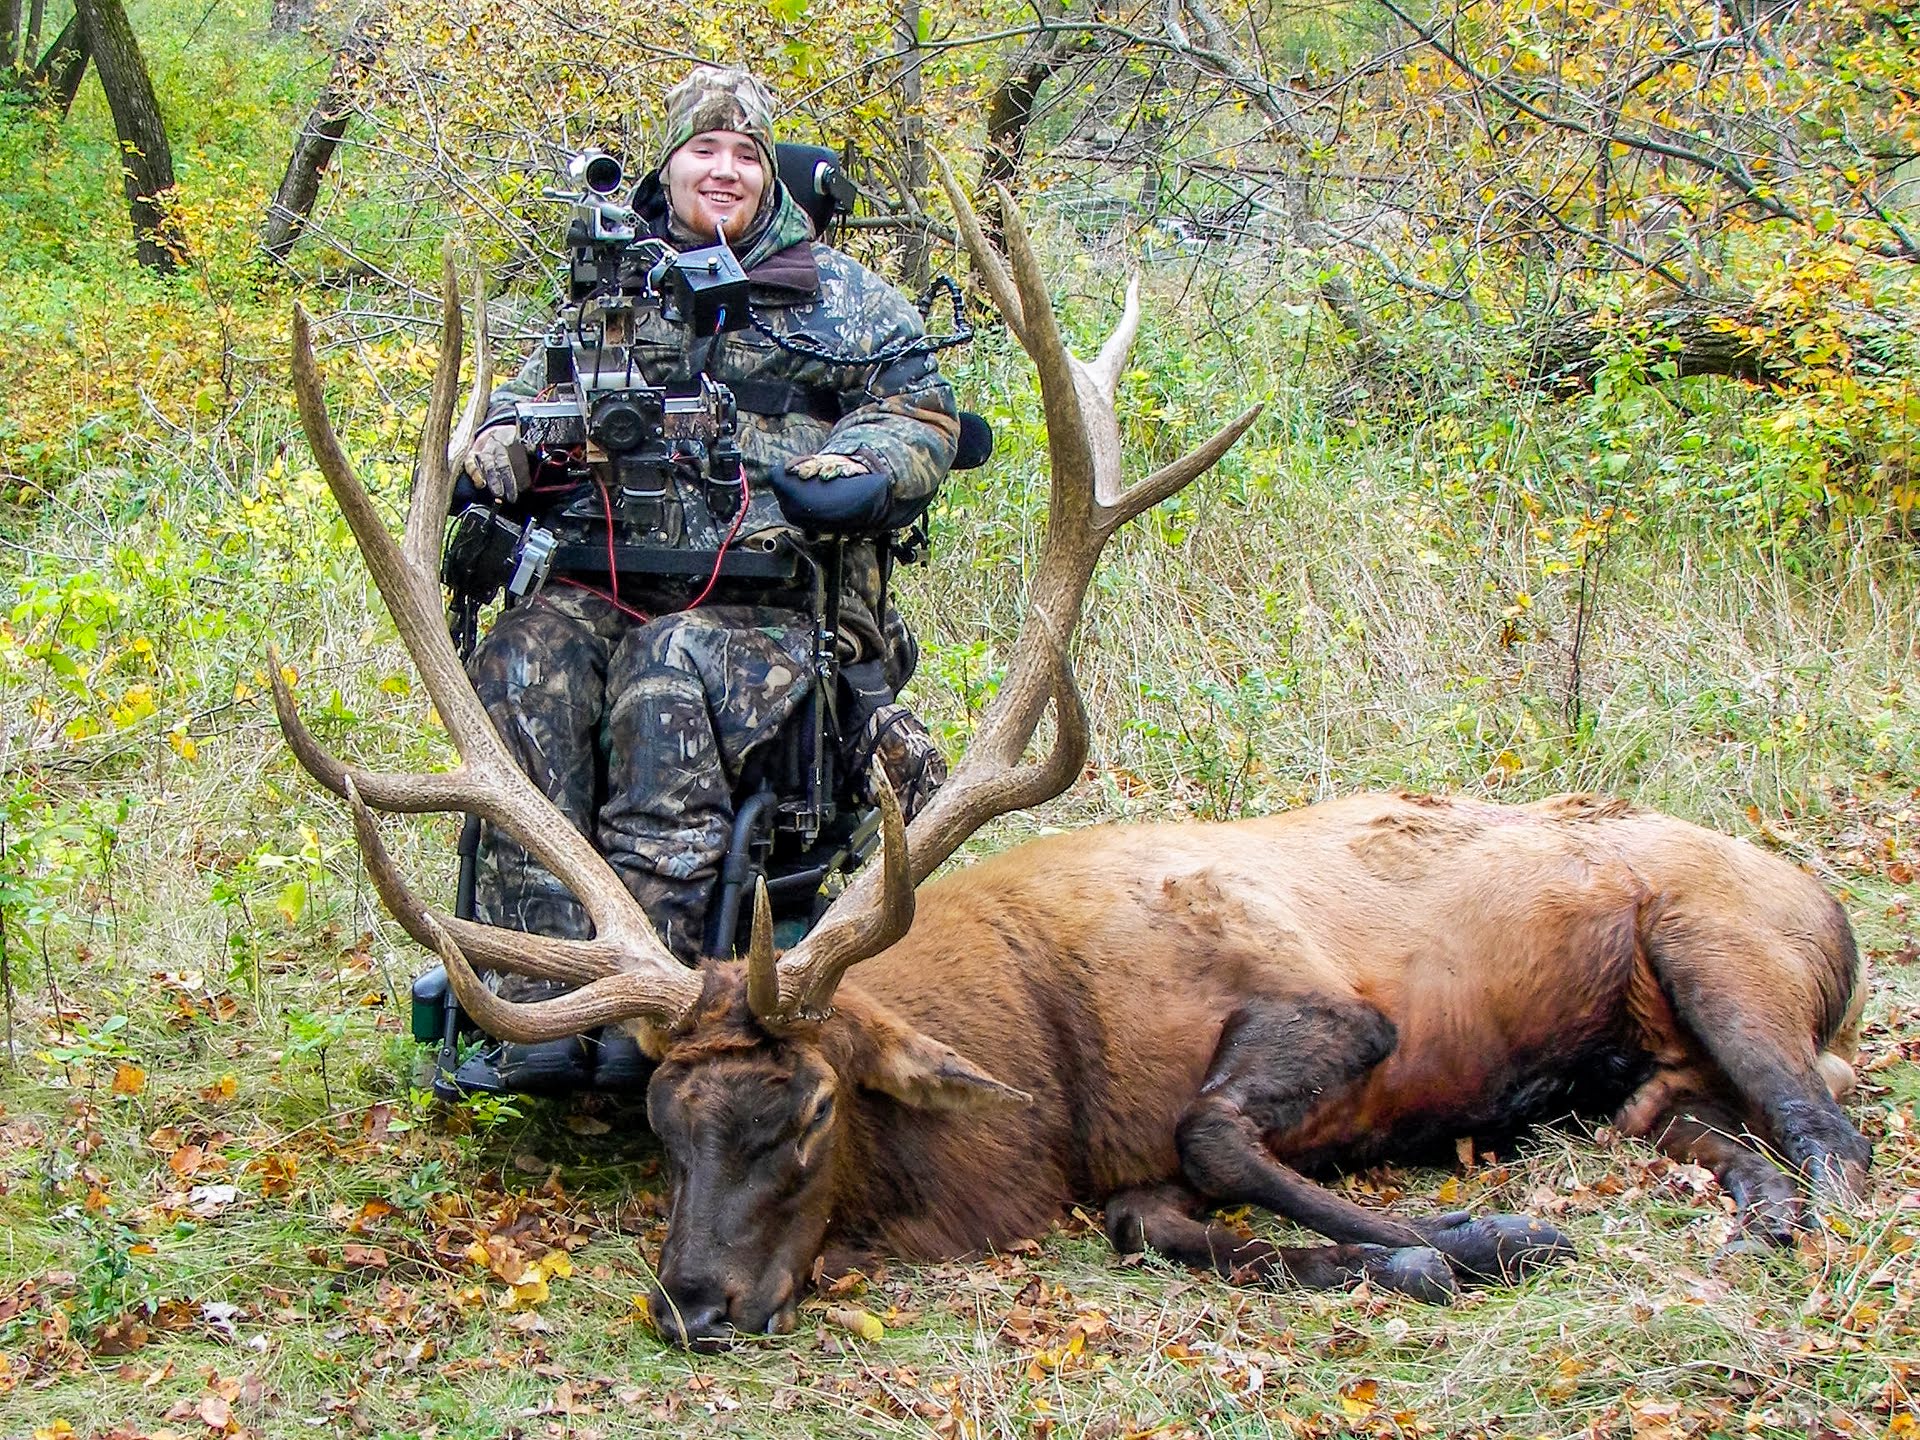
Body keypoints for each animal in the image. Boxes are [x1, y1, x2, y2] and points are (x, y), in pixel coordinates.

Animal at [271, 164, 1871, 1349]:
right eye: (664, 1123)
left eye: (810, 1111)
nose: (693, 1306)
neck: (1056, 1061)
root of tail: (1826, 900)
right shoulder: (1126, 1171)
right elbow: (1161, 1219)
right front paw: (1427, 1244)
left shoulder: (1329, 1008)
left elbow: (1218, 1138)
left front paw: (1491, 1228)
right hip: (1654, 1075)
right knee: (1719, 1120)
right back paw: (1745, 1198)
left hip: (1728, 948)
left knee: (1829, 1125)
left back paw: (1793, 1208)